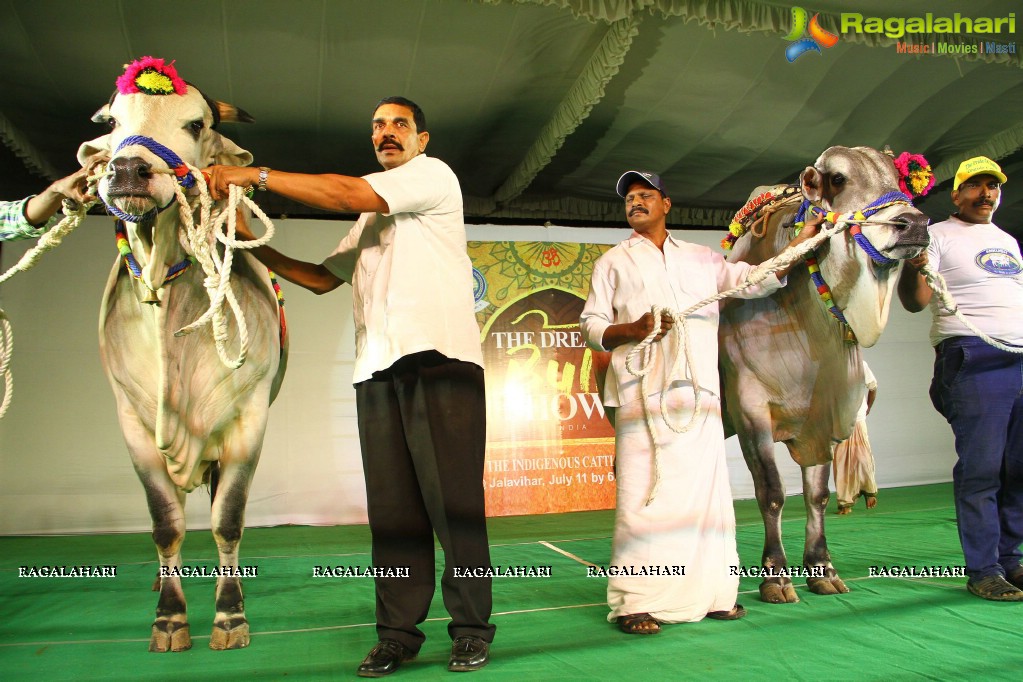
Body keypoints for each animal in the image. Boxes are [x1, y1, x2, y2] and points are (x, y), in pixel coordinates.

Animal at [77, 61, 286, 654]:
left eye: (196, 124)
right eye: (113, 121)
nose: (128, 170)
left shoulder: (248, 419)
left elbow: (227, 519)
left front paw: (230, 614)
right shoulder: (132, 422)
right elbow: (164, 523)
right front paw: (169, 618)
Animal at [720, 145, 928, 601]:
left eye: (897, 179)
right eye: (838, 179)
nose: (915, 224)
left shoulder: (829, 413)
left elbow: (815, 495)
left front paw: (821, 567)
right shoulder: (750, 409)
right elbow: (772, 492)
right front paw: (776, 576)